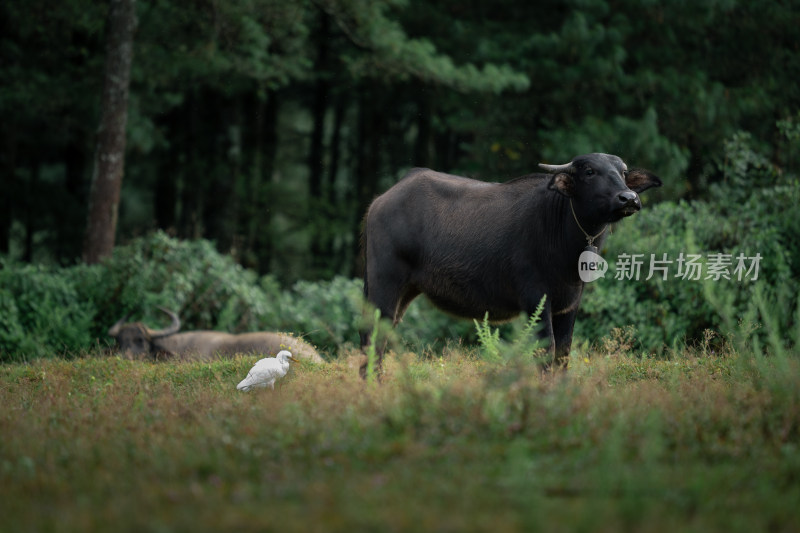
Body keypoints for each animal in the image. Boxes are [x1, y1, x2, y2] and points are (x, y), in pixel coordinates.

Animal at [362, 152, 664, 372]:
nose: (629, 198)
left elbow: (564, 353)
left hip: (405, 292)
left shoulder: (570, 304)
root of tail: (379, 201)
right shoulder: (536, 299)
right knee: (372, 338)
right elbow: (546, 351)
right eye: (590, 171)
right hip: (383, 283)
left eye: (622, 172)